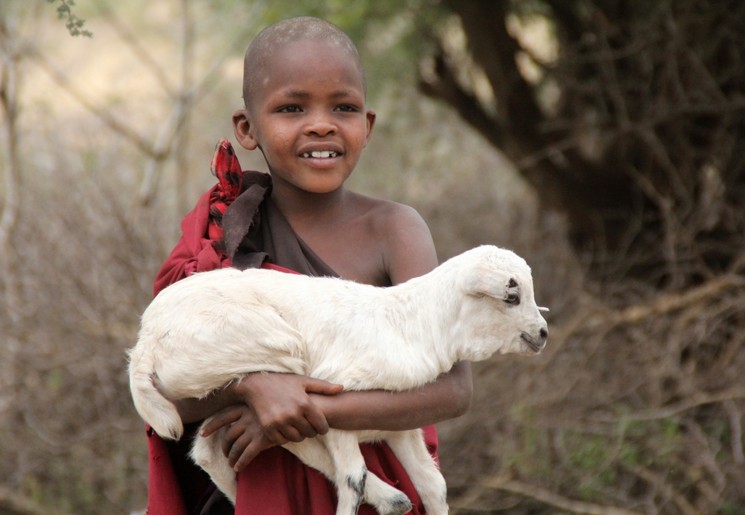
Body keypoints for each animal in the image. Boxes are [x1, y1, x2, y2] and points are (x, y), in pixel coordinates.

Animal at [128, 246, 548, 515]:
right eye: (511, 296)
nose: (543, 334)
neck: (412, 325)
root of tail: (145, 341)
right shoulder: (338, 396)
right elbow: (352, 478)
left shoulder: (400, 423)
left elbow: (433, 484)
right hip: (266, 348)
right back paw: (390, 499)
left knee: (208, 451)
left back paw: (393, 500)